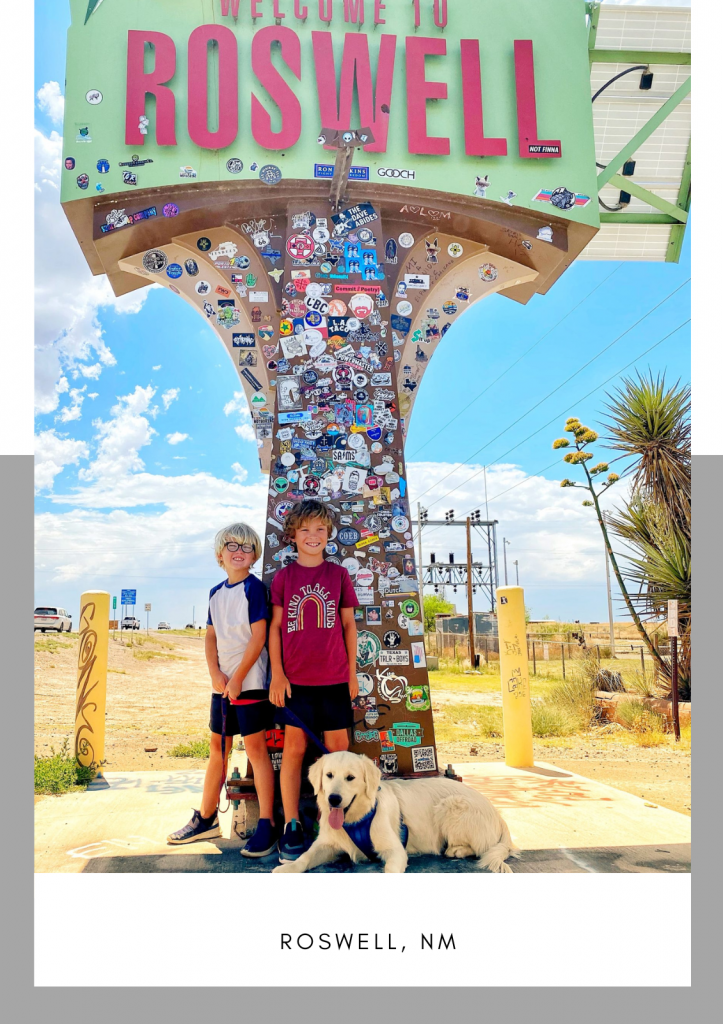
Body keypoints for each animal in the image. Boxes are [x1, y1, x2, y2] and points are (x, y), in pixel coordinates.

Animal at [272, 749, 518, 876]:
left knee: (481, 848)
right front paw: (288, 868)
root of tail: (499, 816)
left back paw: (456, 850)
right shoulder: (326, 844)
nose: (334, 799)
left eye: (350, 777)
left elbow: (391, 869)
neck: (356, 820)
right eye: (329, 775)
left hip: (452, 804)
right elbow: (305, 857)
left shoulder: (395, 849)